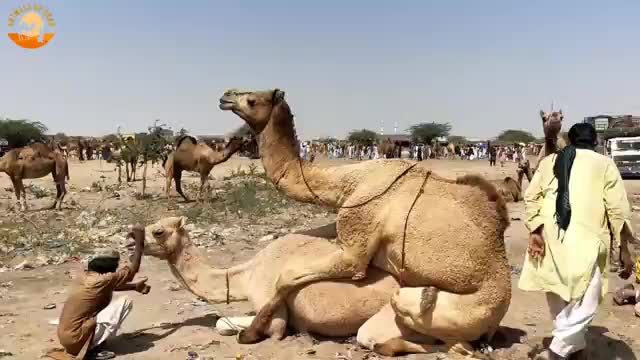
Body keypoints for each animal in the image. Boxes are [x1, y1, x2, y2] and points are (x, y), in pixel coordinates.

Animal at [218, 88, 512, 352]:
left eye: (252, 99)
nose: (226, 96)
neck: (350, 181)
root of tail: (495, 321)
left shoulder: (356, 246)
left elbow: (287, 276)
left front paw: (251, 333)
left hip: (458, 310)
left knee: (449, 338)